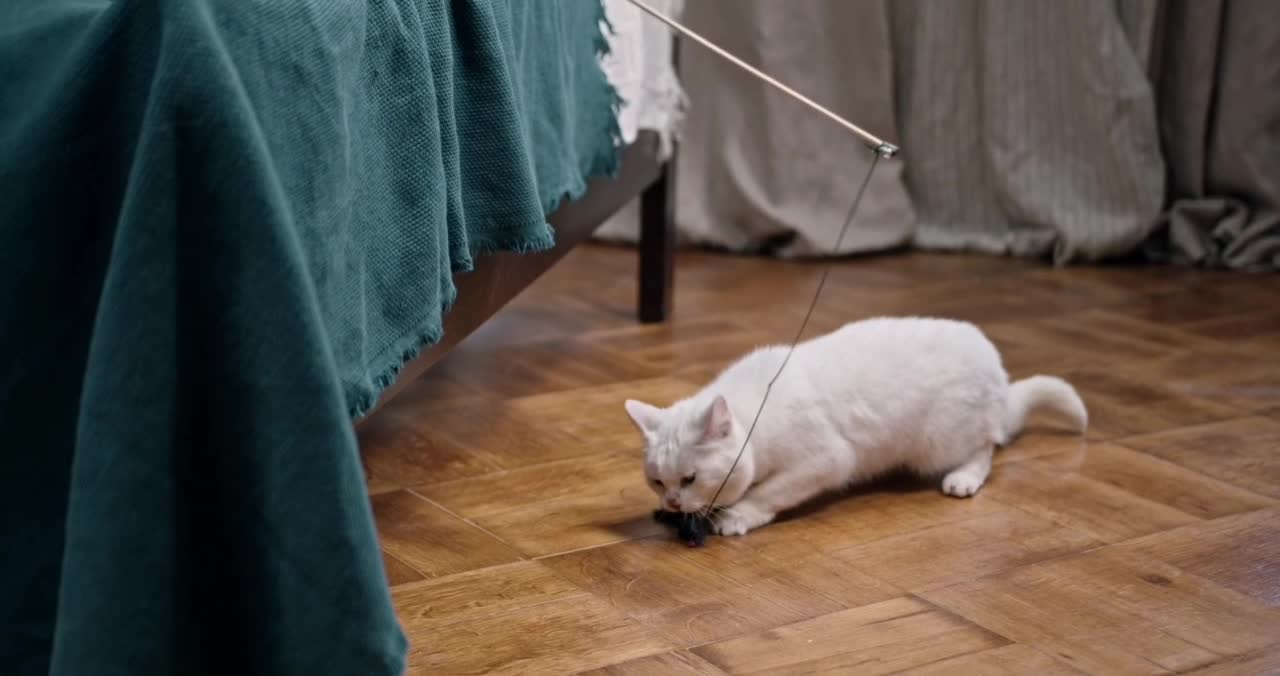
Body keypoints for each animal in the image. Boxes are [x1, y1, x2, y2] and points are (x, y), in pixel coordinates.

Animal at [624, 314, 1085, 532]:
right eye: (658, 482)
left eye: (690, 478)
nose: (673, 503)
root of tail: (996, 366)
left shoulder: (827, 459)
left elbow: (770, 491)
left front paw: (739, 514)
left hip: (939, 439)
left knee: (987, 446)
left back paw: (964, 478)